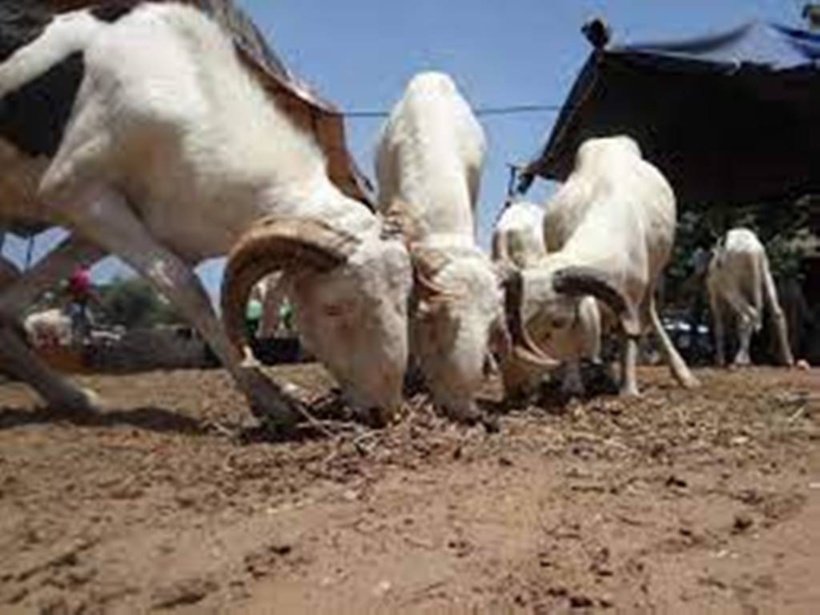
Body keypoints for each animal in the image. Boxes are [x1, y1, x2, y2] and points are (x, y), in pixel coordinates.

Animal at [0, 2, 413, 427]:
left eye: (405, 299)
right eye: (334, 308)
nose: (385, 411)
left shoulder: (101, 225)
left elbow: (11, 301)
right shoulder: (76, 192)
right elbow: (186, 288)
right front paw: (269, 398)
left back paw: (75, 396)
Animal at [509, 136, 699, 396]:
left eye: (558, 322)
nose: (519, 388)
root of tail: (610, 140)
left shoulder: (631, 298)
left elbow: (628, 338)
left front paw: (628, 389)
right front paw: (572, 383)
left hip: (651, 280)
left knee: (649, 316)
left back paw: (682, 374)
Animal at [706, 228, 794, 367]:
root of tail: (754, 250)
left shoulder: (716, 292)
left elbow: (719, 322)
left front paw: (720, 361)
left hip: (731, 277)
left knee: (749, 313)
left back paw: (739, 360)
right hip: (765, 270)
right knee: (775, 311)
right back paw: (788, 360)